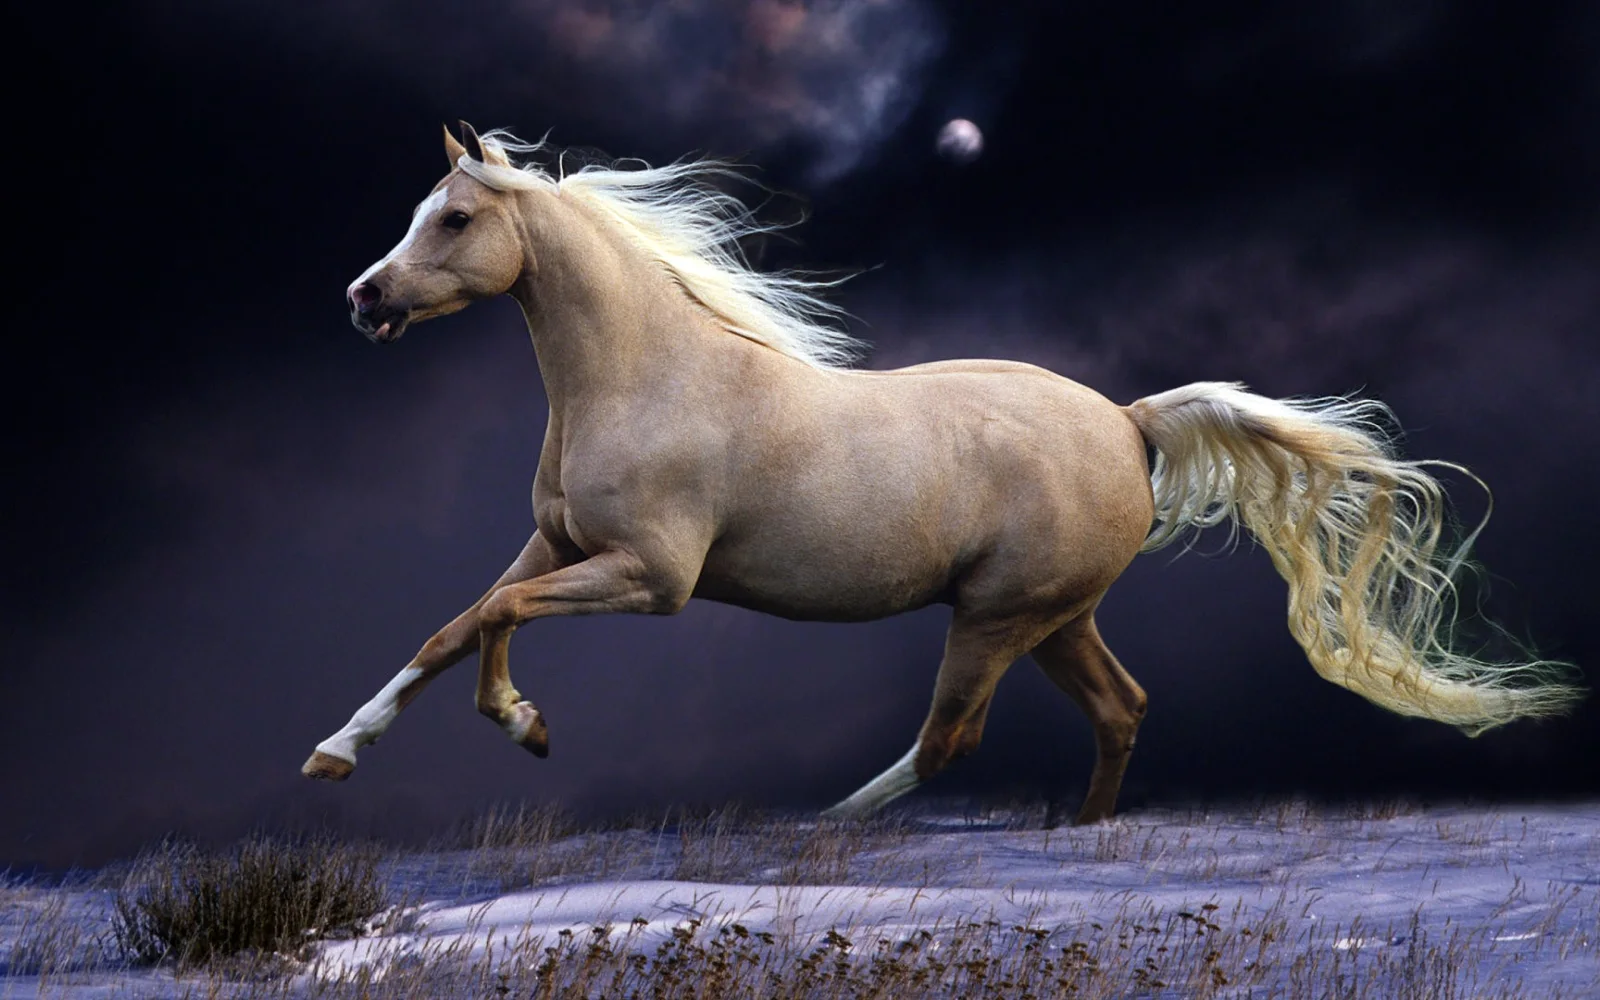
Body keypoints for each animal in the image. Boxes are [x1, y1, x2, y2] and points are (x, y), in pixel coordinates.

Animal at [301, 122, 1581, 825]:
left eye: (454, 218)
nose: (363, 298)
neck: (646, 377)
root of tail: (1128, 421)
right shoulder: (558, 545)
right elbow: (452, 624)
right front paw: (334, 752)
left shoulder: (650, 577)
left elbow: (496, 621)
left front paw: (524, 725)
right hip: (1055, 615)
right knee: (1120, 708)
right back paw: (1079, 834)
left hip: (998, 615)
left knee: (949, 740)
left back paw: (815, 828)